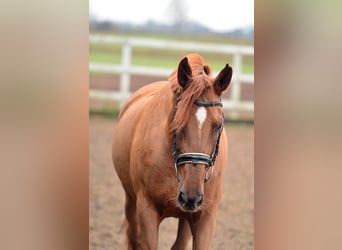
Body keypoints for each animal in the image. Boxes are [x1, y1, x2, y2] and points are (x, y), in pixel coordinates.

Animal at [112, 53, 232, 249]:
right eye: (178, 123)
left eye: (218, 126)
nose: (191, 196)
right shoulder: (147, 211)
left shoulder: (205, 217)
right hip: (131, 200)